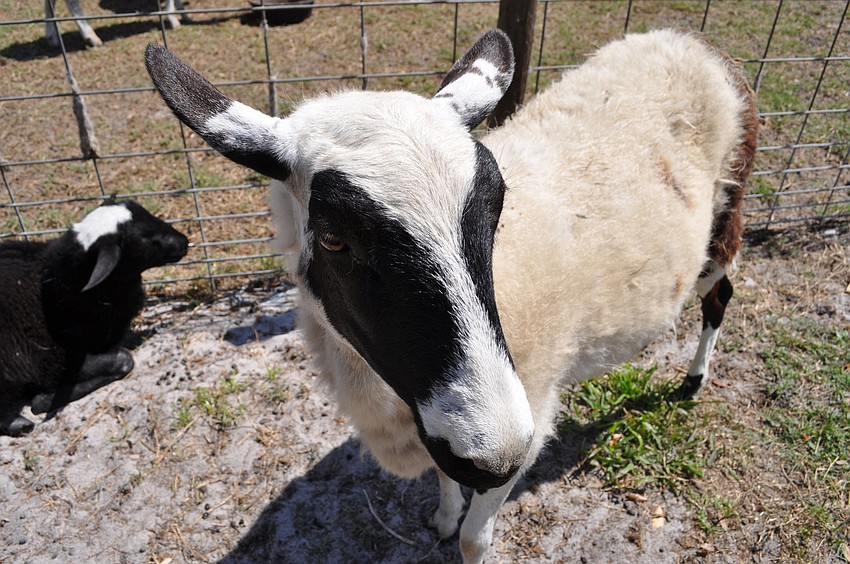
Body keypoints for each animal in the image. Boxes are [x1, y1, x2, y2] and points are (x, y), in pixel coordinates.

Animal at [144, 27, 758, 563]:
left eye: (498, 205)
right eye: (334, 237)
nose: (497, 453)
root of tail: (691, 40)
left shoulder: (530, 412)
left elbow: (473, 539)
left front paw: (459, 526)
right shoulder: (443, 427)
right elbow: (446, 475)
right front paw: (441, 516)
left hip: (724, 220)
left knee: (720, 296)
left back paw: (693, 381)